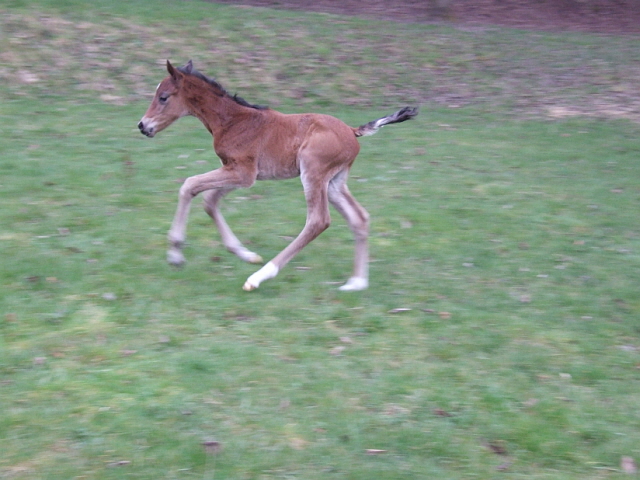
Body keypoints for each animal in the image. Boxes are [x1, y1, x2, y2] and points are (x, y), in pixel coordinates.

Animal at [139, 60, 420, 292]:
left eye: (163, 97)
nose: (143, 126)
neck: (232, 120)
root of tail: (352, 131)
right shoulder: (238, 172)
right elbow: (209, 201)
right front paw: (244, 253)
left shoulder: (243, 172)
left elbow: (189, 186)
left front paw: (175, 254)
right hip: (334, 182)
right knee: (359, 218)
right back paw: (356, 282)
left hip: (313, 171)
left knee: (318, 220)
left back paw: (259, 277)